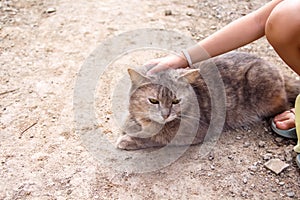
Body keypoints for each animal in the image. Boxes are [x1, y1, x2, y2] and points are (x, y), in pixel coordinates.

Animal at [115, 51, 300, 150]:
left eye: (176, 101)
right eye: (153, 101)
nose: (165, 115)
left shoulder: (192, 132)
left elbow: (156, 137)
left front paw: (129, 139)